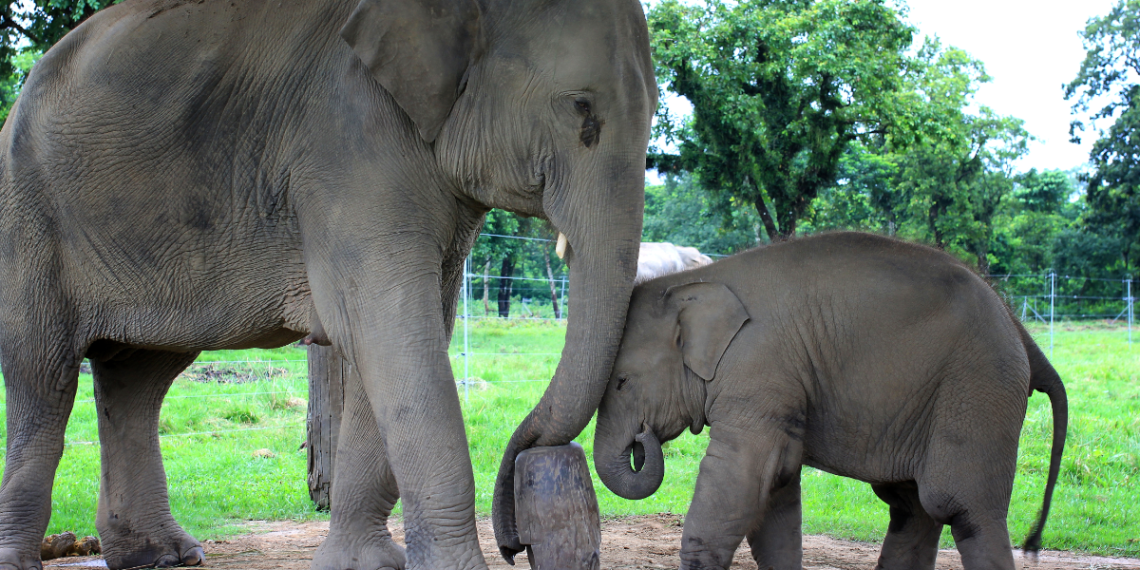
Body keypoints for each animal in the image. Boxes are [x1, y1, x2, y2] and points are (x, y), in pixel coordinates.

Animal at [0, 0, 656, 568]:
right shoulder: (347, 146)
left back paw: (164, 556)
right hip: (29, 219)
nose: (518, 542)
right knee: (44, 379)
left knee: (138, 378)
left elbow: (397, 336)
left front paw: (366, 563)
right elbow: (386, 327)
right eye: (579, 106)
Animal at [592, 232, 1068, 570]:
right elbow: (776, 485)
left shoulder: (760, 369)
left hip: (977, 386)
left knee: (961, 508)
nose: (642, 439)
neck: (691, 283)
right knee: (911, 507)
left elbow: (743, 474)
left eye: (622, 382)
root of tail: (1019, 327)